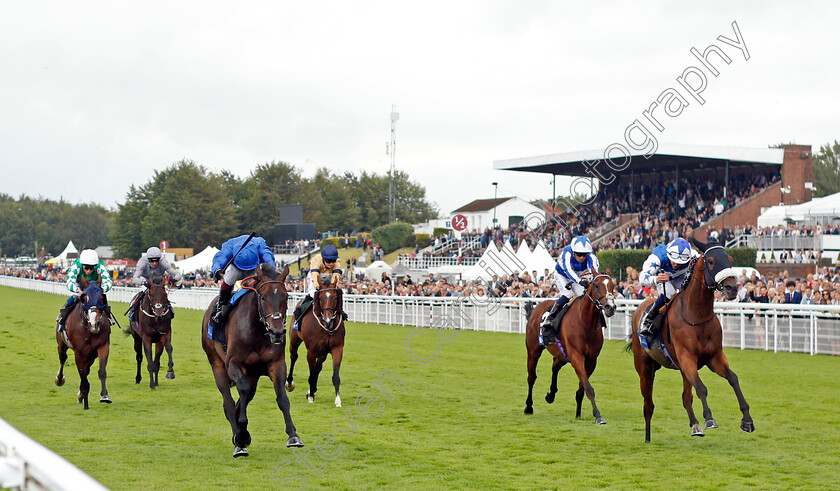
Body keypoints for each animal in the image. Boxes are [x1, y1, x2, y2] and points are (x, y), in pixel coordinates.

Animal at [55, 278, 111, 410]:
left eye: (101, 298)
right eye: (85, 299)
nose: (94, 324)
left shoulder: (103, 346)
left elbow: (101, 371)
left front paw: (104, 396)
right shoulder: (79, 351)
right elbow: (82, 374)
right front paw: (85, 401)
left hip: (91, 355)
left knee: (87, 369)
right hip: (62, 344)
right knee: (63, 358)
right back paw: (59, 379)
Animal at [200, 264, 302, 460]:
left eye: (286, 296)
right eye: (263, 297)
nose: (277, 332)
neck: (257, 330)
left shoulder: (277, 364)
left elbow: (282, 398)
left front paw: (293, 435)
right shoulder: (233, 364)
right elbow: (241, 392)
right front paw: (240, 436)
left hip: (253, 375)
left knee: (242, 399)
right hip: (217, 365)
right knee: (229, 402)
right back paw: (239, 441)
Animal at [286, 276, 344, 408]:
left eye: (335, 297)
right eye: (321, 298)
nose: (328, 320)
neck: (328, 329)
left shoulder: (337, 349)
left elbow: (335, 376)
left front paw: (337, 400)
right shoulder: (311, 352)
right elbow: (312, 373)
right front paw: (311, 395)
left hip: (323, 353)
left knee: (318, 366)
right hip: (294, 341)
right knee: (294, 357)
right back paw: (290, 384)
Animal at [524, 270, 616, 424]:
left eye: (612, 286)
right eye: (596, 286)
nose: (610, 307)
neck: (586, 323)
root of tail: (537, 307)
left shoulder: (591, 360)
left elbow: (582, 389)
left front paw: (578, 413)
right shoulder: (576, 357)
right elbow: (589, 388)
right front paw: (598, 416)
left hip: (562, 354)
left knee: (555, 366)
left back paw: (551, 395)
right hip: (533, 351)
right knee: (531, 377)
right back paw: (528, 407)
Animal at [632, 238, 756, 442]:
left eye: (730, 259)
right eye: (711, 261)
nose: (731, 288)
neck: (697, 316)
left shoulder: (714, 357)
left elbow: (733, 379)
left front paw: (747, 419)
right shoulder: (687, 357)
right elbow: (702, 388)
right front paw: (709, 419)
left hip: (681, 370)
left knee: (685, 397)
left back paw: (694, 425)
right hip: (645, 369)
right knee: (648, 403)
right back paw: (648, 437)